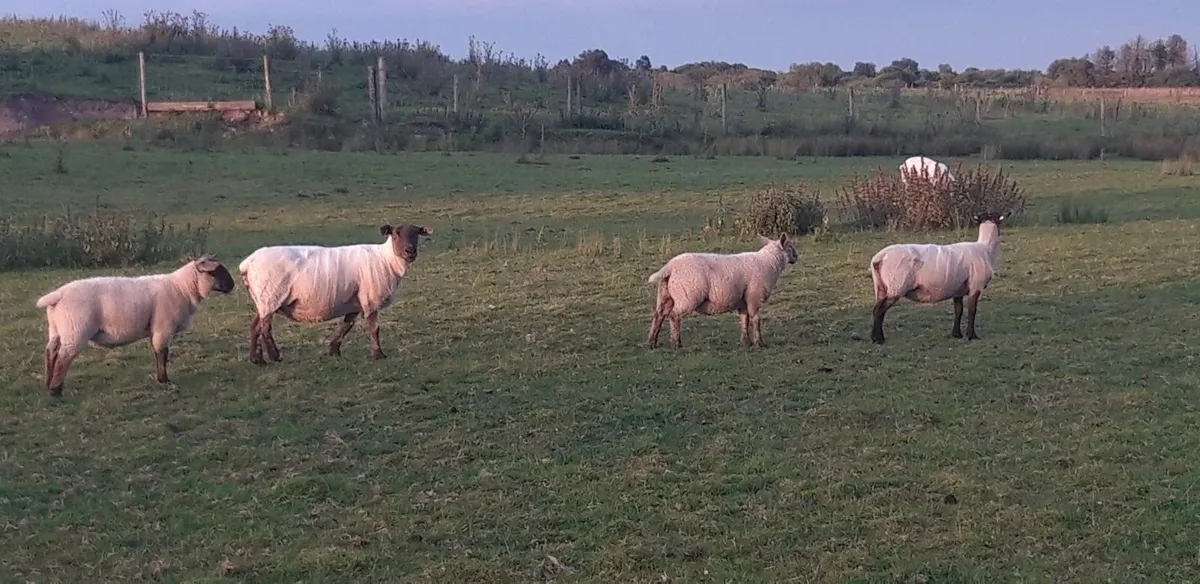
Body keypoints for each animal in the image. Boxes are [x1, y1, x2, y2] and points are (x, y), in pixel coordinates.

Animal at [34, 255, 236, 397]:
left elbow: (157, 353)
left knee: (50, 352)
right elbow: (162, 353)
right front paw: (164, 380)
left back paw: (47, 383)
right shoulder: (163, 327)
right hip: (75, 330)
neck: (182, 288)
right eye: (214, 272)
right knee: (63, 358)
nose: (232, 285)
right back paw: (56, 391)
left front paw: (160, 378)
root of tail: (58, 295)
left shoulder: (156, 329)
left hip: (57, 330)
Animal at [238, 223, 432, 364]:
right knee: (265, 328)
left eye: (416, 233)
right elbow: (373, 328)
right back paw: (274, 356)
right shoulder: (370, 299)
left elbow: (346, 325)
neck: (386, 259)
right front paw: (379, 355)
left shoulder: (355, 301)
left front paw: (334, 350)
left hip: (263, 299)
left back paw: (257, 360)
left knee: (255, 327)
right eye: (396, 234)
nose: (410, 251)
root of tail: (247, 263)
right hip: (271, 295)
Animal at [646, 234, 798, 349]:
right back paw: (676, 343)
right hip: (687, 296)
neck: (769, 262)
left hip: (665, 295)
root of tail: (670, 266)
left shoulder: (743, 300)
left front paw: (746, 342)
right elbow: (756, 319)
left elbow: (745, 320)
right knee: (674, 316)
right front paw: (759, 343)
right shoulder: (754, 297)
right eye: (790, 246)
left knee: (659, 315)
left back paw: (651, 343)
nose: (797, 257)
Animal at [868, 212, 1006, 344]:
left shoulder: (958, 289)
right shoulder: (975, 286)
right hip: (896, 286)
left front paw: (956, 334)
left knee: (876, 309)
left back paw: (875, 338)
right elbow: (972, 311)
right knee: (880, 311)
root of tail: (879, 258)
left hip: (882, 287)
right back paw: (879, 339)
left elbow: (958, 310)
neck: (986, 249)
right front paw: (972, 336)